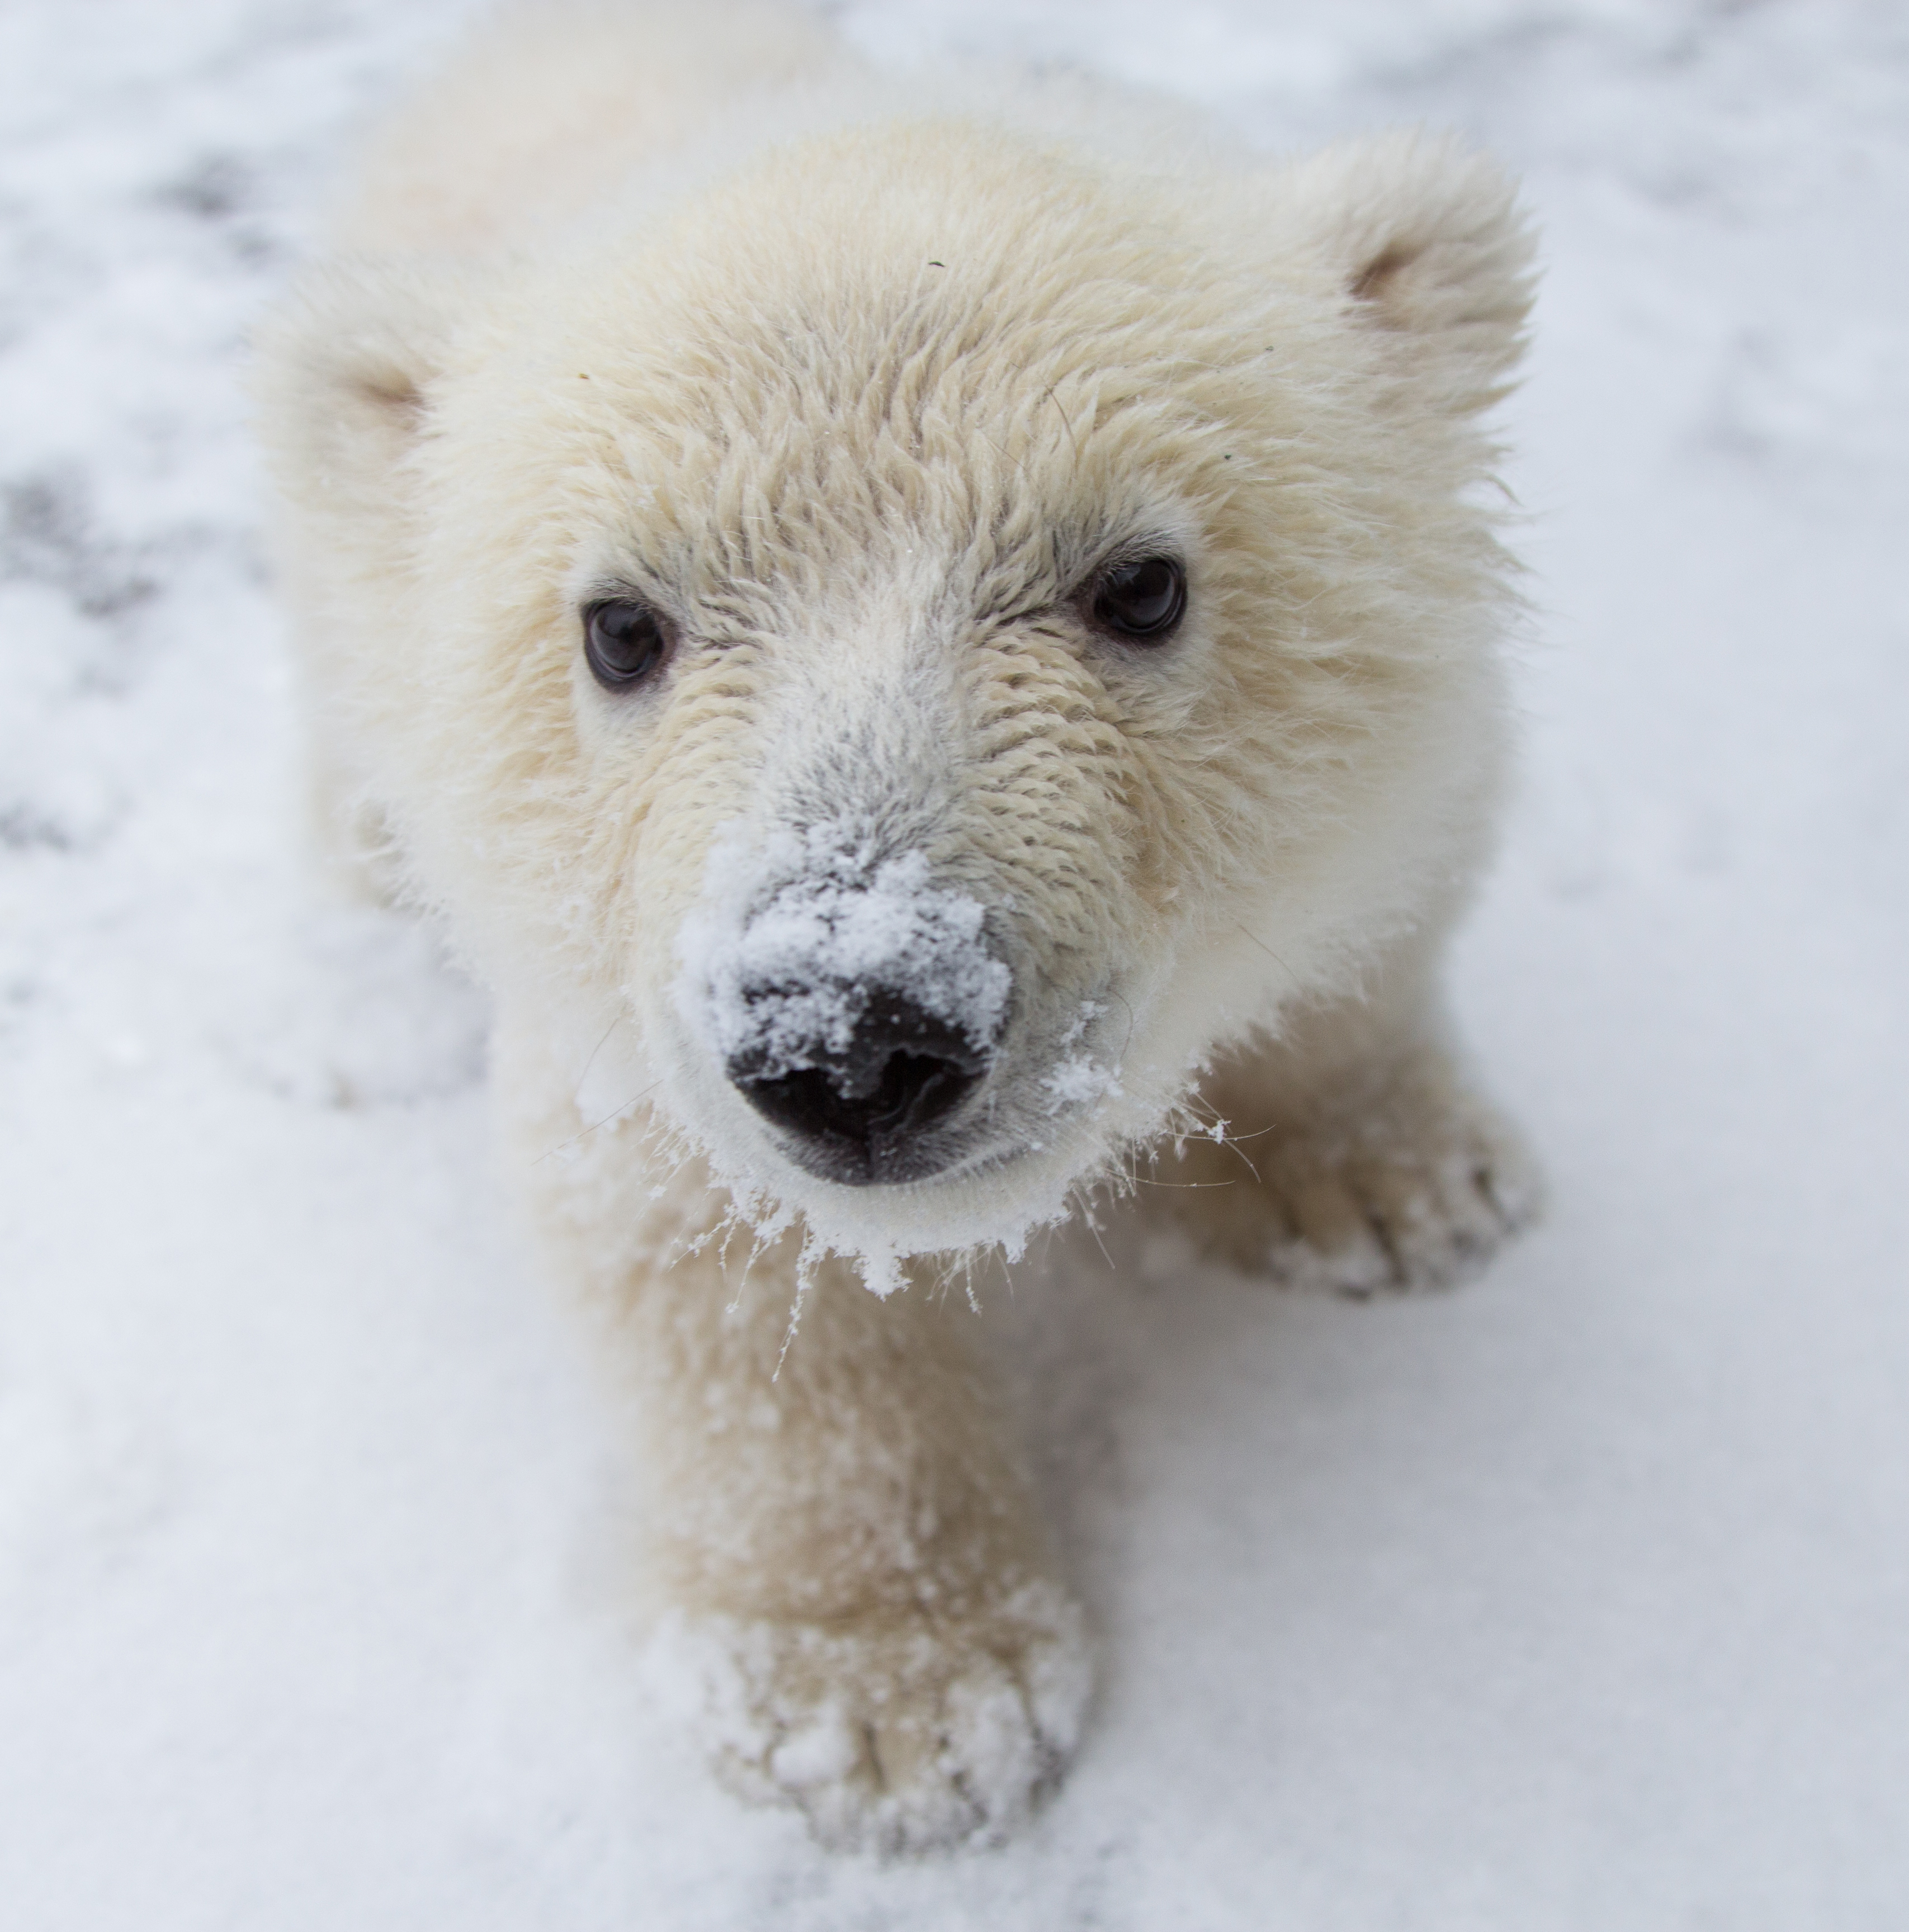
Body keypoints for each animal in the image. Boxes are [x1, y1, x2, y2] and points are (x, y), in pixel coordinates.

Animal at [253, 0, 1539, 1855]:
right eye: (619, 627)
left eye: (1139, 582)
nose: (851, 1039)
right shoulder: (632, 1015)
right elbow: (726, 1272)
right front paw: (888, 1710)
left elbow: (1373, 915)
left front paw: (1396, 1193)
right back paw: (351, 1002)